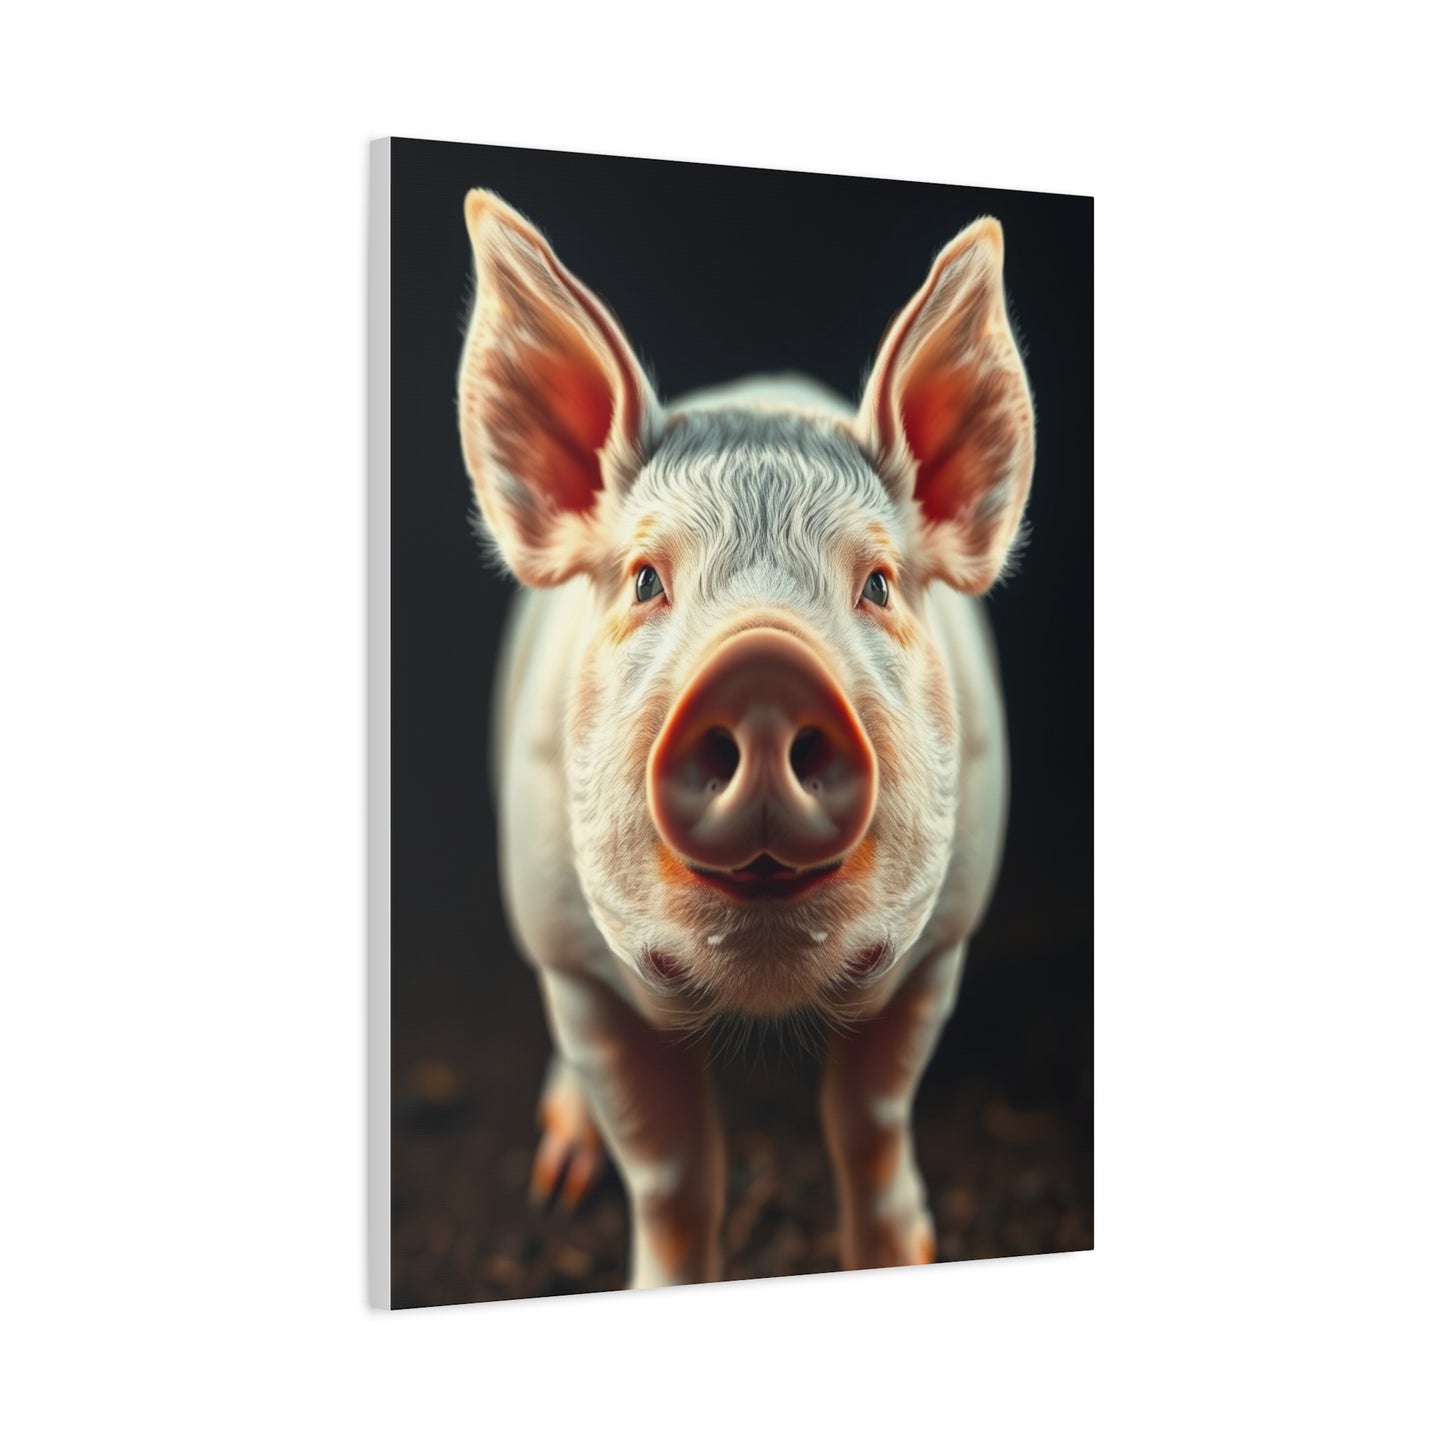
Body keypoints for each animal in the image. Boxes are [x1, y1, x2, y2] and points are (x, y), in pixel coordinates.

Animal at [457, 189, 1034, 1288]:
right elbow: (672, 1172)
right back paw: (559, 1170)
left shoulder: (940, 941)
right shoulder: (577, 967)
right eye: (645, 578)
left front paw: (903, 1257)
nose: (763, 667)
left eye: (877, 583)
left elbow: (868, 1119)